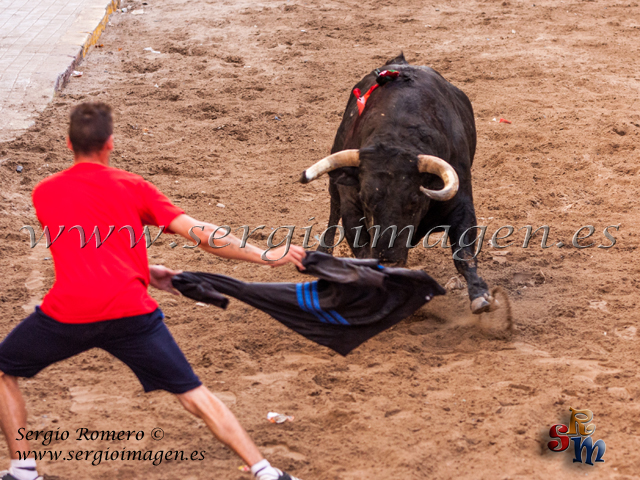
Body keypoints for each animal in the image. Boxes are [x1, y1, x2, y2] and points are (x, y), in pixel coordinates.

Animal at [298, 53, 491, 314]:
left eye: (414, 201)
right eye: (366, 199)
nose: (388, 257)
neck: (398, 134)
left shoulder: (461, 204)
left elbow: (464, 253)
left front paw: (480, 295)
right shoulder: (352, 208)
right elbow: (362, 249)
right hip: (334, 179)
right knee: (333, 210)